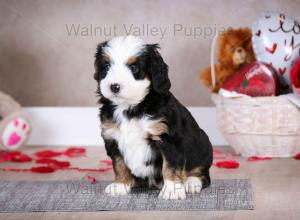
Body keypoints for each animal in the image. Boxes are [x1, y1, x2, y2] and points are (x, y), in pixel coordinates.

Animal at [94, 35, 213, 199]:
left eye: (134, 68)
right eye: (106, 67)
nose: (114, 86)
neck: (130, 107)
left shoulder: (168, 138)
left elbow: (170, 165)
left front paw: (172, 190)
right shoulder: (112, 138)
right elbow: (119, 164)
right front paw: (120, 185)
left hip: (203, 145)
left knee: (202, 173)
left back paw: (191, 182)